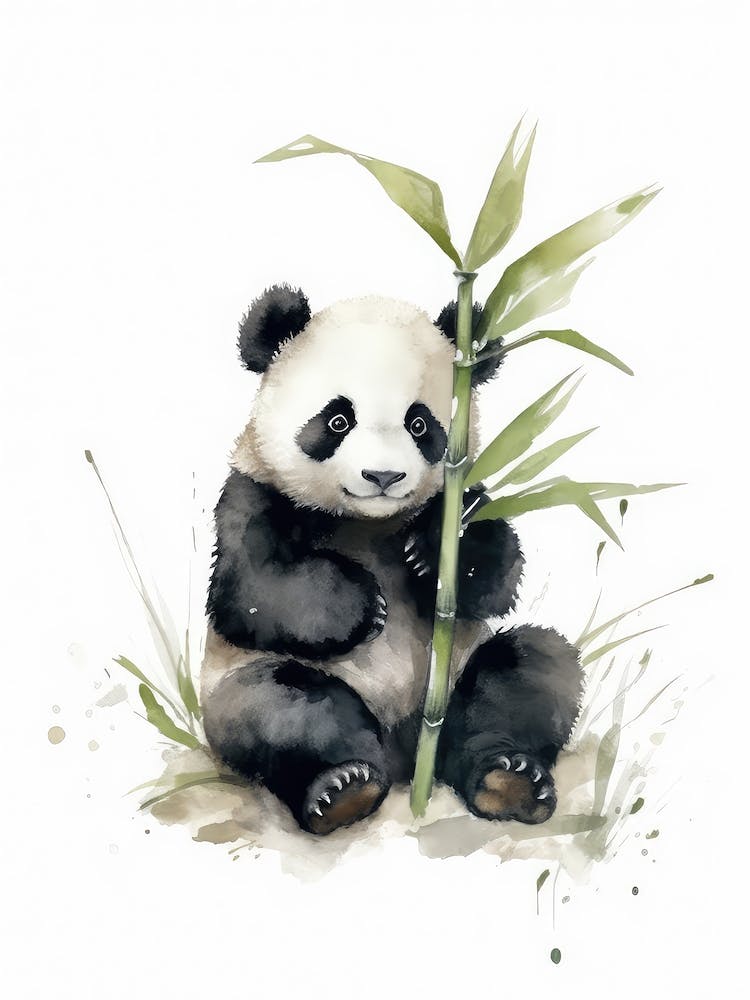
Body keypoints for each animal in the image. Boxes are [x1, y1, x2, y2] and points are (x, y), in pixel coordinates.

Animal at [201, 285, 583, 836]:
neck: (370, 521)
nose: (383, 476)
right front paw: (366, 606)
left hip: (454, 679)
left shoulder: (461, 497)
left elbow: (495, 574)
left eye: (420, 423)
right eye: (338, 420)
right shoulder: (254, 491)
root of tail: (406, 759)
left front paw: (430, 556)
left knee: (529, 671)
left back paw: (508, 779)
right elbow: (250, 589)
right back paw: (344, 787)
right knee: (282, 707)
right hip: (242, 686)